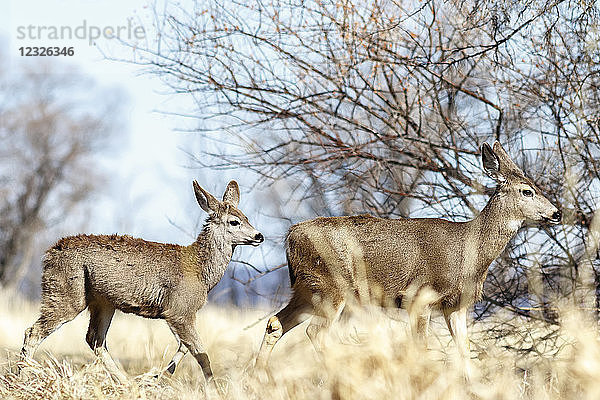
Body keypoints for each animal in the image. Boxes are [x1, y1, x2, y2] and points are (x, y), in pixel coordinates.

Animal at [21, 180, 262, 382]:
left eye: (247, 218)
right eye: (234, 221)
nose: (259, 235)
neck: (200, 271)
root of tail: (49, 254)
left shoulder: (175, 312)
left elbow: (184, 347)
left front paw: (157, 376)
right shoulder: (180, 310)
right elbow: (200, 353)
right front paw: (212, 387)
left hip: (103, 302)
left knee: (95, 339)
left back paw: (126, 383)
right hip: (65, 293)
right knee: (33, 332)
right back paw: (22, 377)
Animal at [254, 141, 564, 368]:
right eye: (527, 191)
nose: (557, 213)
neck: (468, 250)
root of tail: (291, 236)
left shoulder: (455, 305)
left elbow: (464, 350)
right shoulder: (419, 296)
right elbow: (421, 347)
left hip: (307, 288)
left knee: (275, 323)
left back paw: (258, 376)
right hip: (332, 284)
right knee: (314, 331)